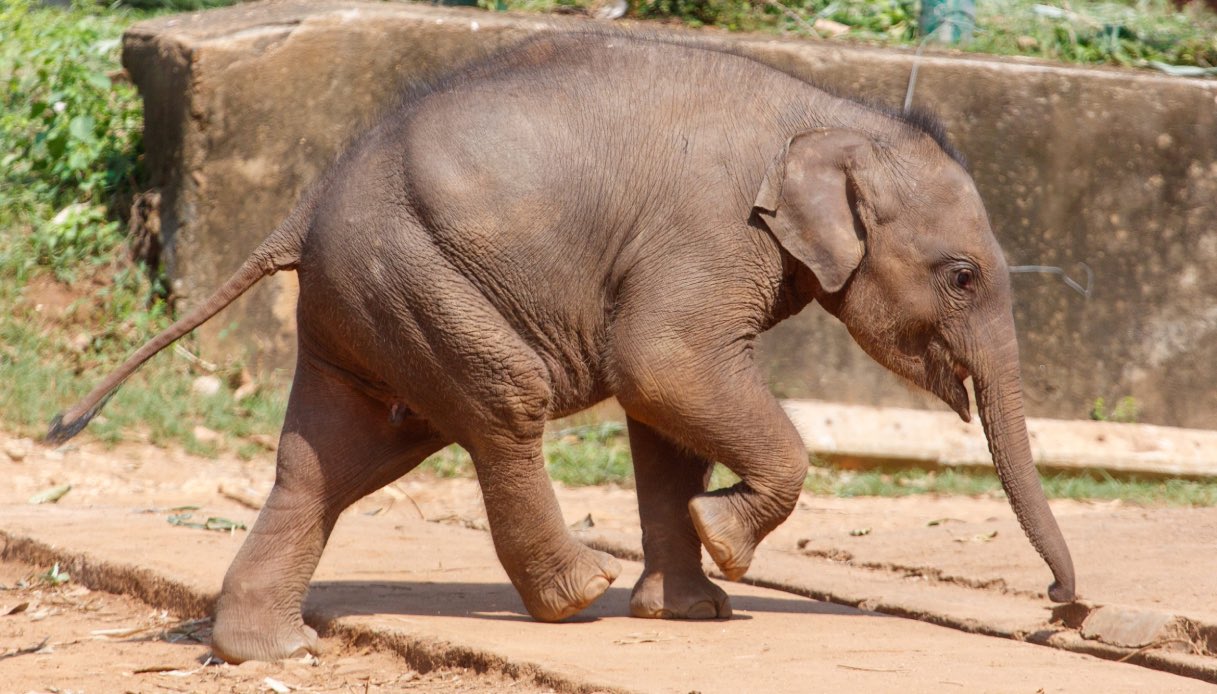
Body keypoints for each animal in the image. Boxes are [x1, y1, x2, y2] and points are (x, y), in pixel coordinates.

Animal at [48, 32, 1075, 663]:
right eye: (962, 276)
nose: (1063, 613)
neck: (831, 114)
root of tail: (304, 208)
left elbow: (664, 416)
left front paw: (694, 606)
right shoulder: (703, 234)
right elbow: (662, 367)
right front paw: (724, 542)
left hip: (369, 302)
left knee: (339, 456)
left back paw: (274, 651)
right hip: (422, 280)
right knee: (502, 406)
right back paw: (579, 593)